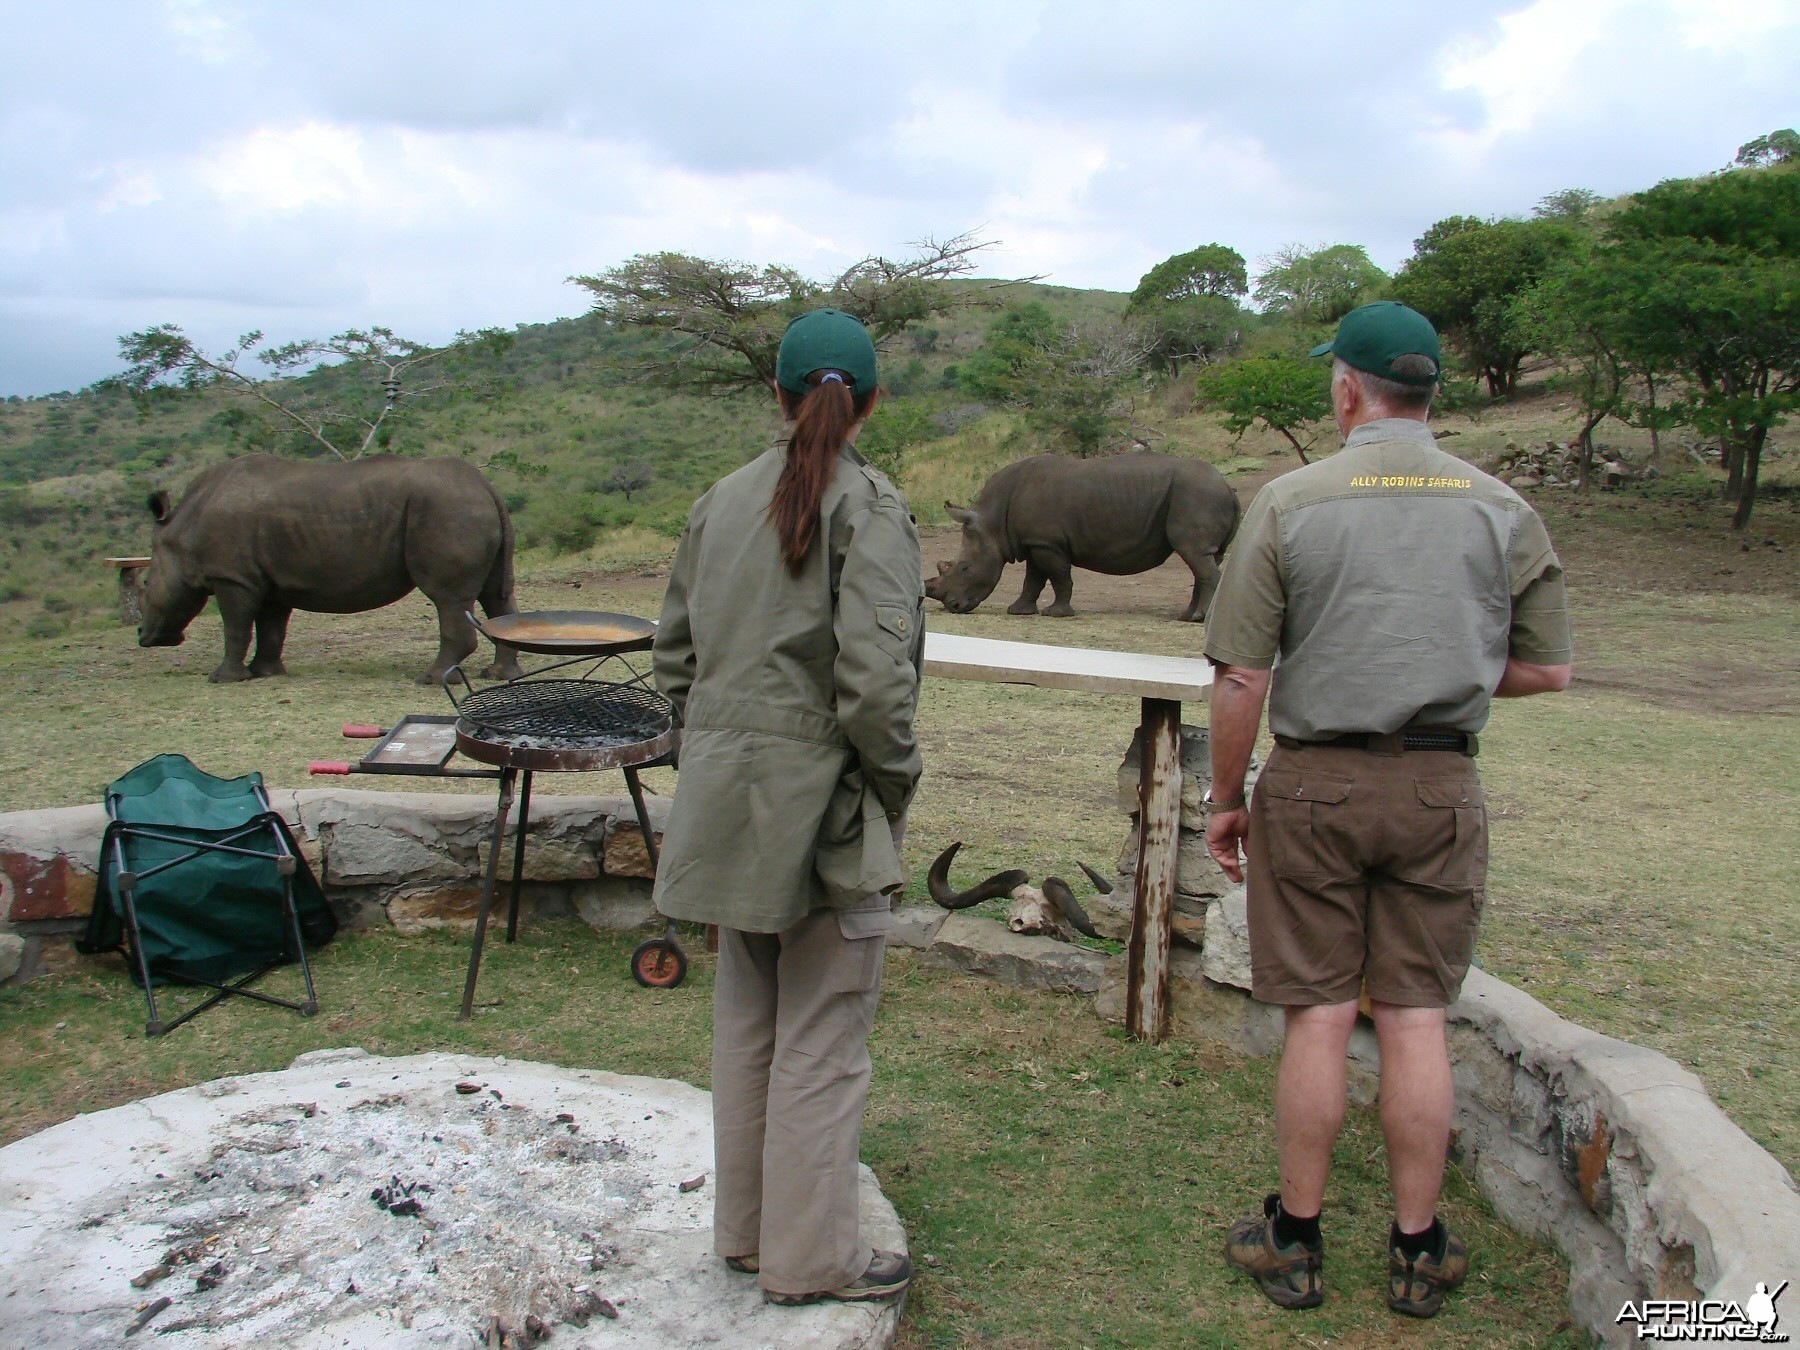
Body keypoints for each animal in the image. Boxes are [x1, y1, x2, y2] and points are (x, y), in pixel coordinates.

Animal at [139, 455, 522, 687]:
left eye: (144, 583)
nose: (143, 635)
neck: (182, 529)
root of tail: (486, 486)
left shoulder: (232, 576)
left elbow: (236, 626)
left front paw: (224, 678)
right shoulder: (269, 579)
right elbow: (271, 627)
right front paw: (266, 673)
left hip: (447, 510)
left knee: (448, 598)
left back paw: (430, 679)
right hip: (464, 509)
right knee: (494, 596)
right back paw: (497, 674)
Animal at [928, 455, 1238, 622]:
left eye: (965, 568)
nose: (953, 607)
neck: (992, 523)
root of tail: (1227, 486)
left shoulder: (1048, 543)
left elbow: (1059, 577)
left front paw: (1057, 613)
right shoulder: (1035, 541)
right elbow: (1033, 579)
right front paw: (1018, 611)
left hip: (1197, 495)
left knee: (1194, 553)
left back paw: (1198, 618)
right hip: (1199, 495)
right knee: (1203, 557)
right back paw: (1188, 616)